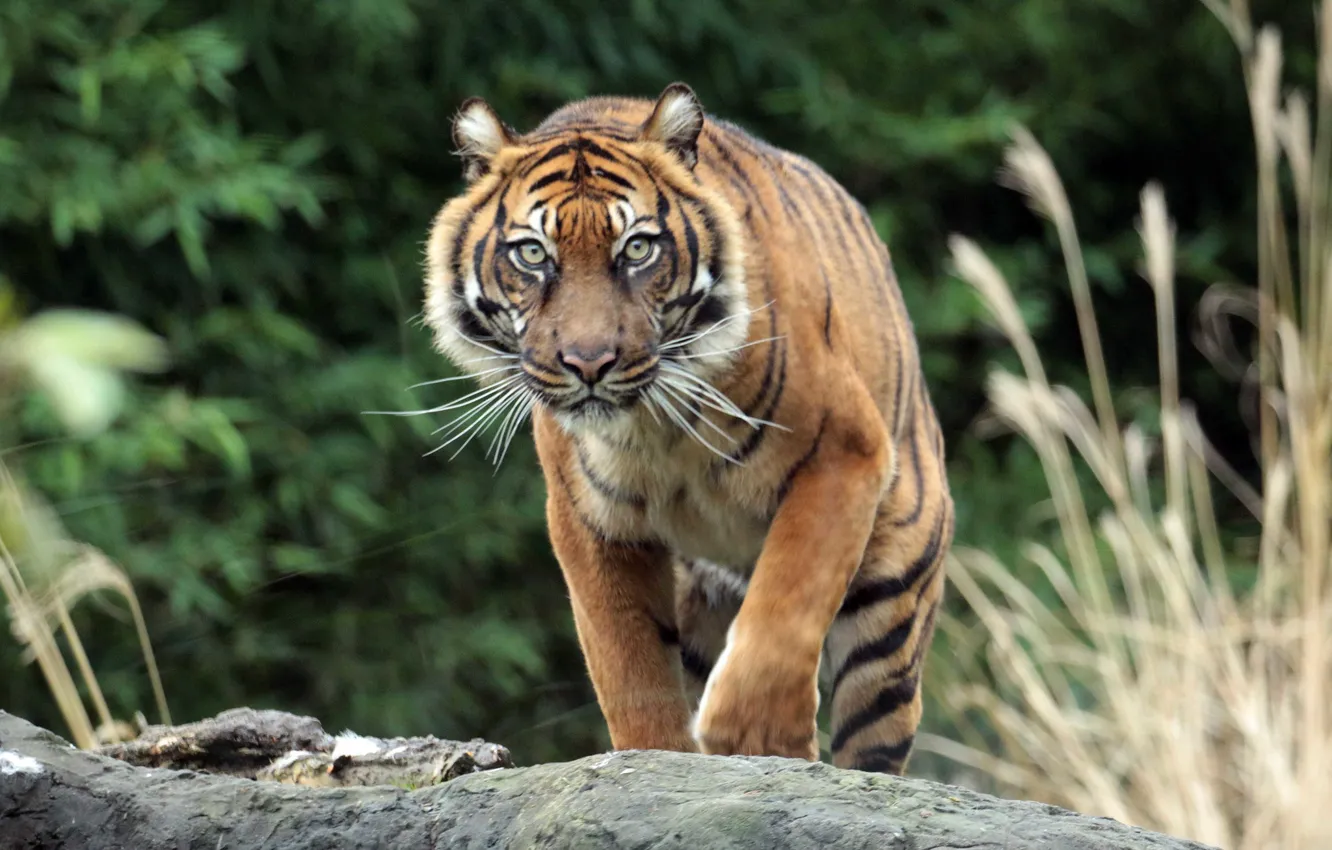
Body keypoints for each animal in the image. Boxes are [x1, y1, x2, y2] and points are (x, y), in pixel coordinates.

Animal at [421, 82, 953, 775]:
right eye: (533, 254)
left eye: (637, 249)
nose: (589, 363)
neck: (652, 429)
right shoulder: (589, 520)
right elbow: (628, 665)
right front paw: (659, 758)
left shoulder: (844, 452)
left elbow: (788, 603)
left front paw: (757, 739)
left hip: (892, 604)